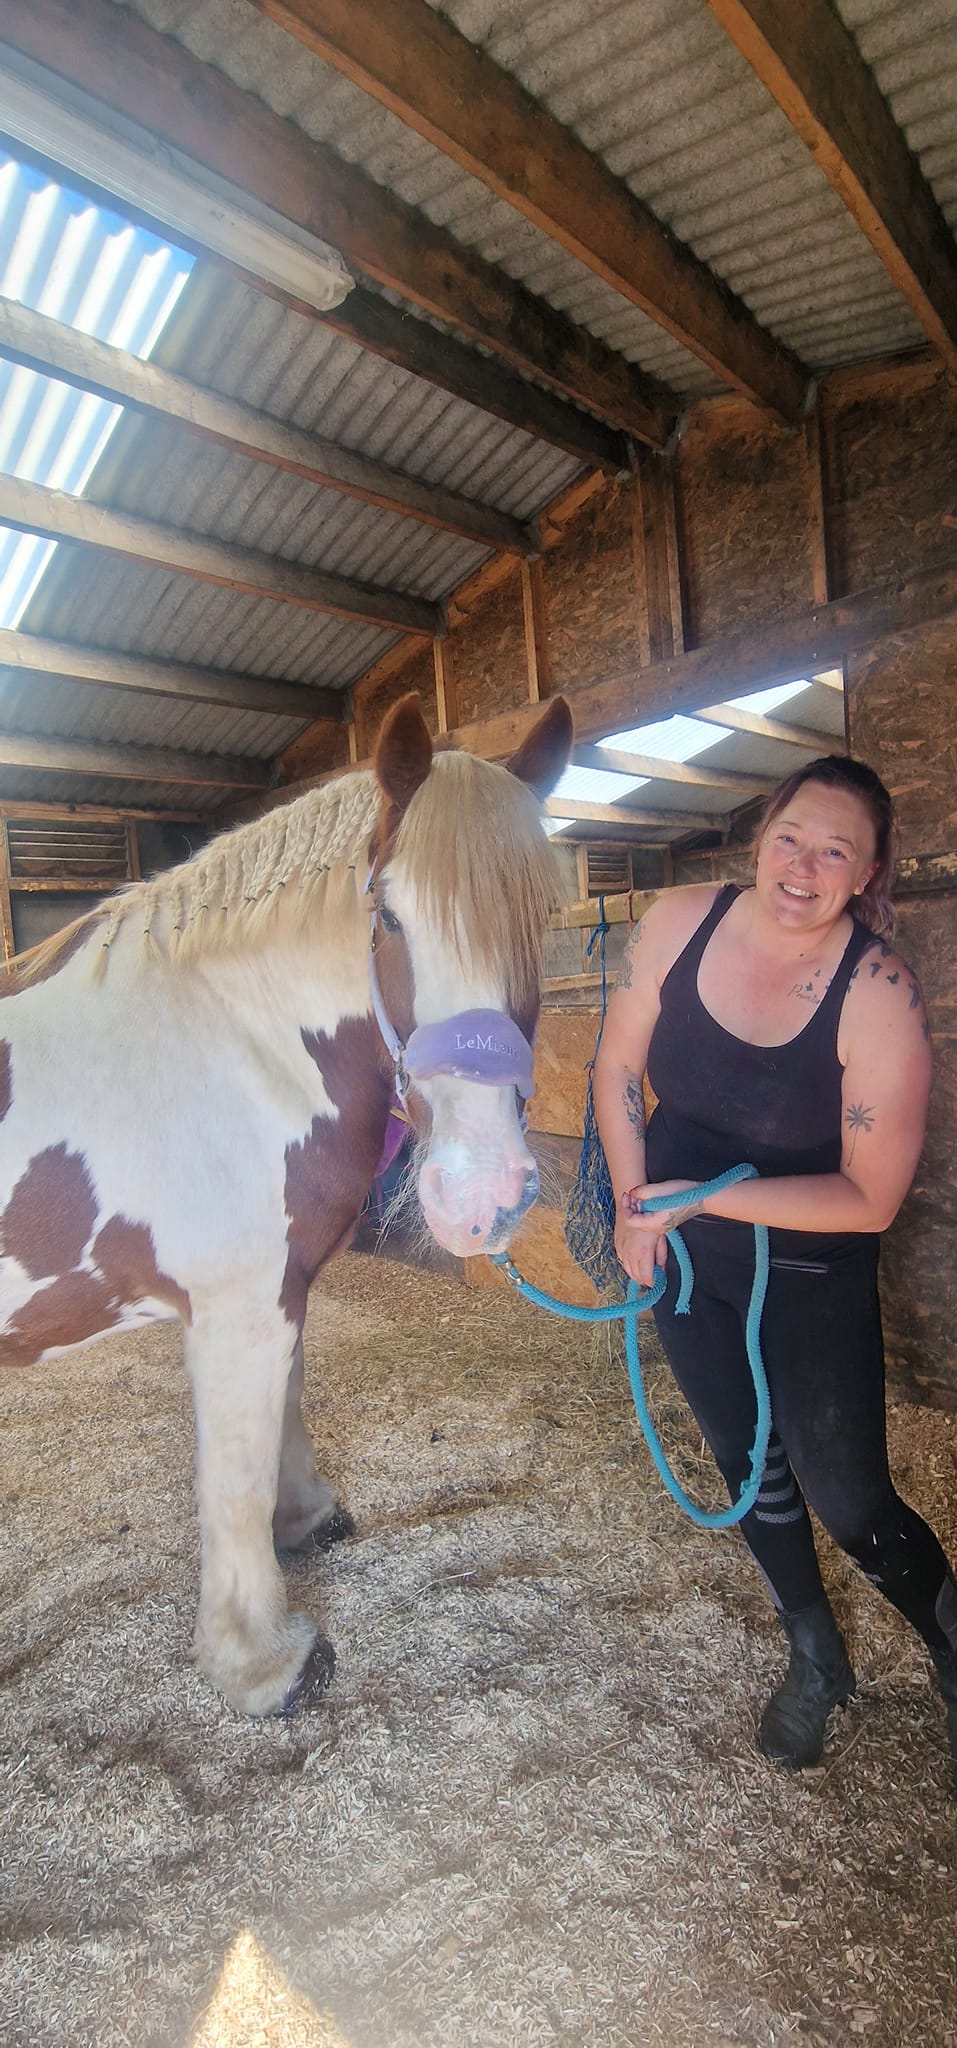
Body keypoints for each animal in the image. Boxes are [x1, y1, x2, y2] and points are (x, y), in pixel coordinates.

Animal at [0, 692, 572, 1715]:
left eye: (537, 915)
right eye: (387, 917)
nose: (483, 1194)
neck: (229, 1048)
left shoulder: (285, 1288)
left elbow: (282, 1421)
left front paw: (305, 1519)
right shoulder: (236, 1310)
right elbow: (233, 1476)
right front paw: (264, 1664)